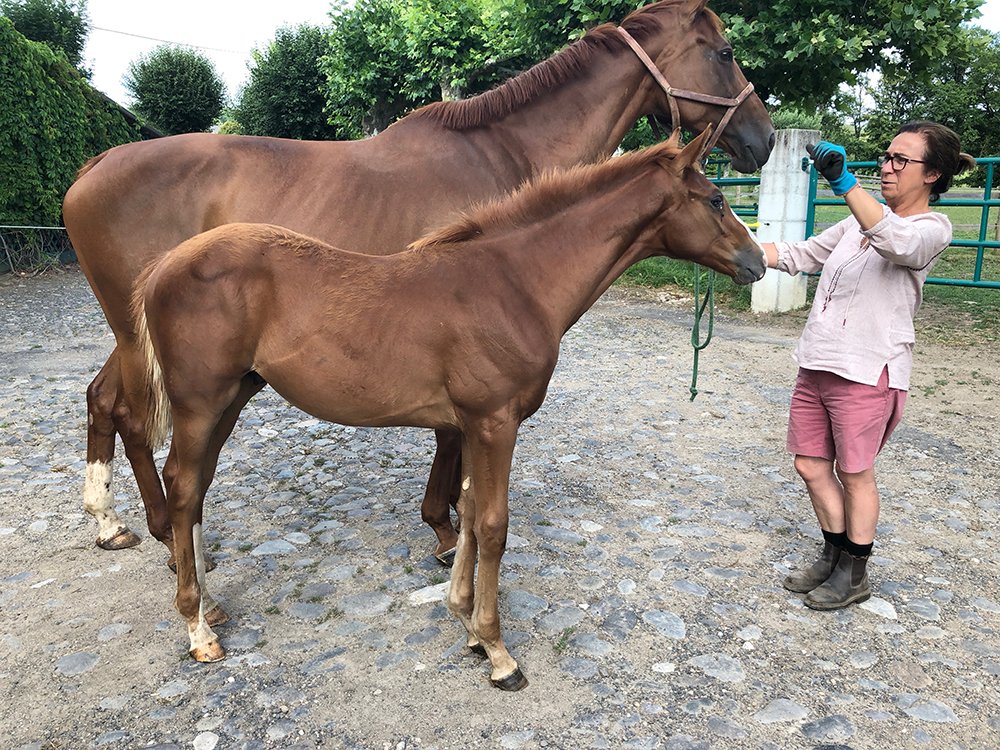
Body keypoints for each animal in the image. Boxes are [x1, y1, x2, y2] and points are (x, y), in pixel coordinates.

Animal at [63, 0, 775, 568]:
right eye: (724, 52)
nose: (764, 139)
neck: (503, 152)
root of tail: (92, 166)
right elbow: (452, 442)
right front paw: (445, 529)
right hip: (142, 336)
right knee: (131, 413)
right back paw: (162, 531)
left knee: (104, 400)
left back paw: (113, 523)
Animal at [130, 129, 766, 690]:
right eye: (715, 199)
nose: (759, 261)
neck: (515, 283)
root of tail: (163, 264)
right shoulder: (494, 421)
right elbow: (491, 525)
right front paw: (499, 652)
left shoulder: (473, 425)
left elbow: (468, 510)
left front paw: (467, 623)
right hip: (200, 401)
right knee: (183, 487)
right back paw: (197, 629)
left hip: (234, 396)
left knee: (195, 485)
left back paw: (210, 605)